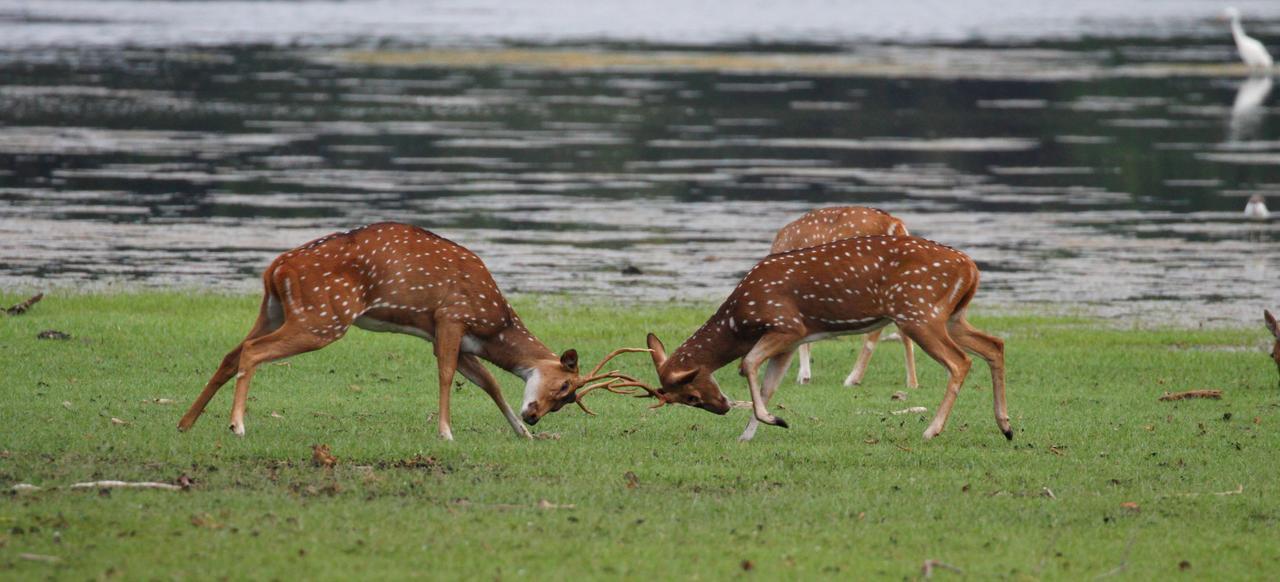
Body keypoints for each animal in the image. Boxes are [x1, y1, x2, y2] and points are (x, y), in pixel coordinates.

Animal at [175, 223, 645, 442]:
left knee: (231, 353)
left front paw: (522, 434)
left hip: (274, 309)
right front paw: (446, 432)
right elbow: (447, 375)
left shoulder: (449, 334)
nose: (533, 415)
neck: (493, 323)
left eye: (565, 399)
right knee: (253, 351)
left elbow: (489, 382)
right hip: (324, 316)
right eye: (564, 385)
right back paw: (237, 425)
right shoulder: (450, 316)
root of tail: (276, 267)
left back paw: (186, 422)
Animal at [640, 234, 1008, 440]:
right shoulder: (790, 342)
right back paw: (1006, 426)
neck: (739, 319)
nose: (722, 407)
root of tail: (971, 268)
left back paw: (932, 430)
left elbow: (747, 364)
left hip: (919, 312)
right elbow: (769, 385)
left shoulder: (787, 324)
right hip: (952, 315)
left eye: (690, 396)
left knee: (960, 362)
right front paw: (749, 435)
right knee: (995, 345)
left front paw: (772, 420)